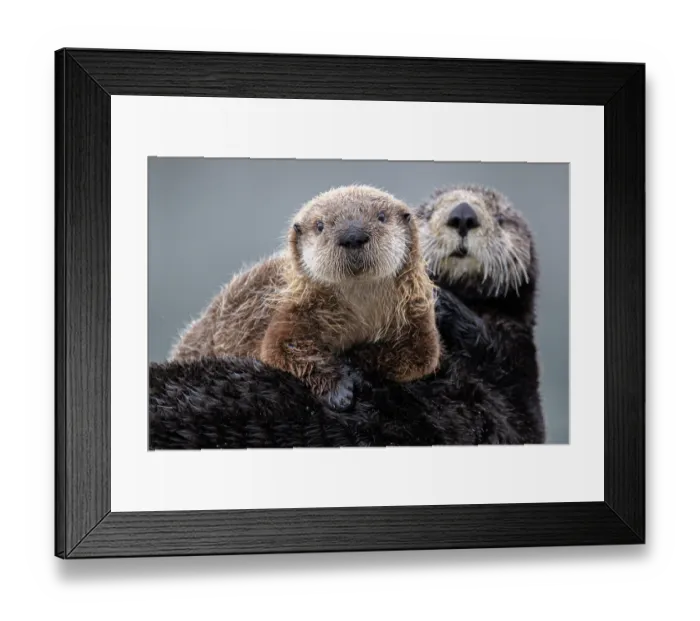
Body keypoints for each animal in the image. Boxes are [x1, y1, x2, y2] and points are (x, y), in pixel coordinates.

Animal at [169, 185, 441, 411]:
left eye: (381, 217)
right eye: (320, 225)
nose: (353, 235)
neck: (359, 309)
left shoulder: (415, 312)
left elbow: (420, 355)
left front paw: (354, 364)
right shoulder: (295, 310)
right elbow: (282, 347)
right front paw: (338, 390)